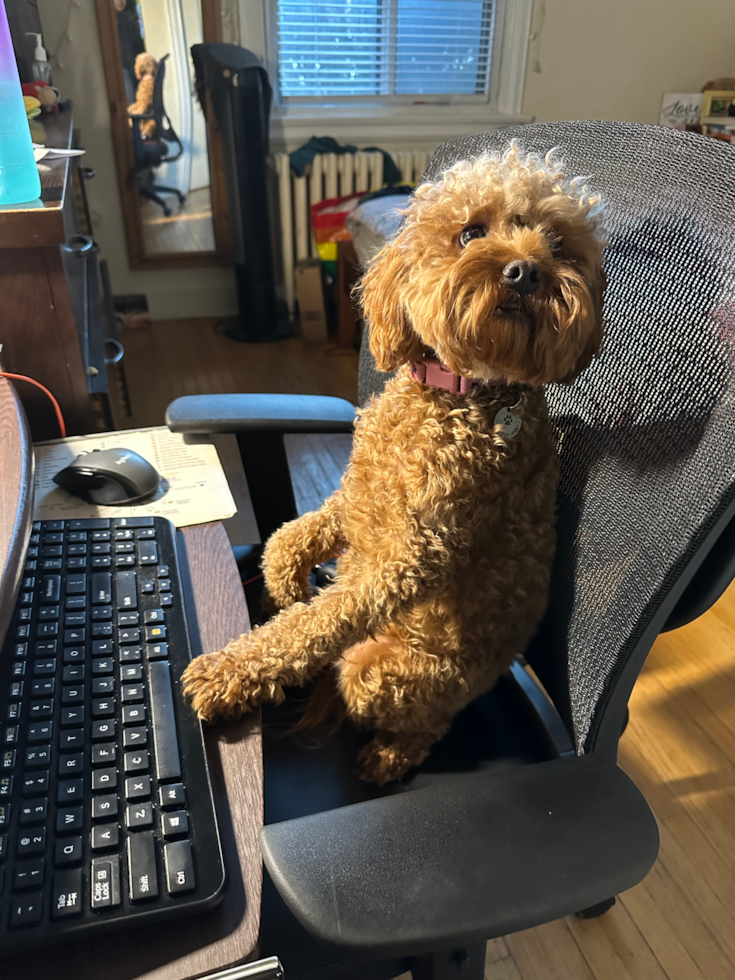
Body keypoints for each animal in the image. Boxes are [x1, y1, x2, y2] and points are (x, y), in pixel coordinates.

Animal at [183, 145, 604, 784]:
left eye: (557, 246)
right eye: (471, 232)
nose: (527, 271)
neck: (454, 395)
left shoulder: (408, 556)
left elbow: (310, 626)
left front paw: (229, 671)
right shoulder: (358, 501)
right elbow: (288, 538)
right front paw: (284, 586)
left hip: (383, 672)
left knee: (417, 722)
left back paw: (386, 758)